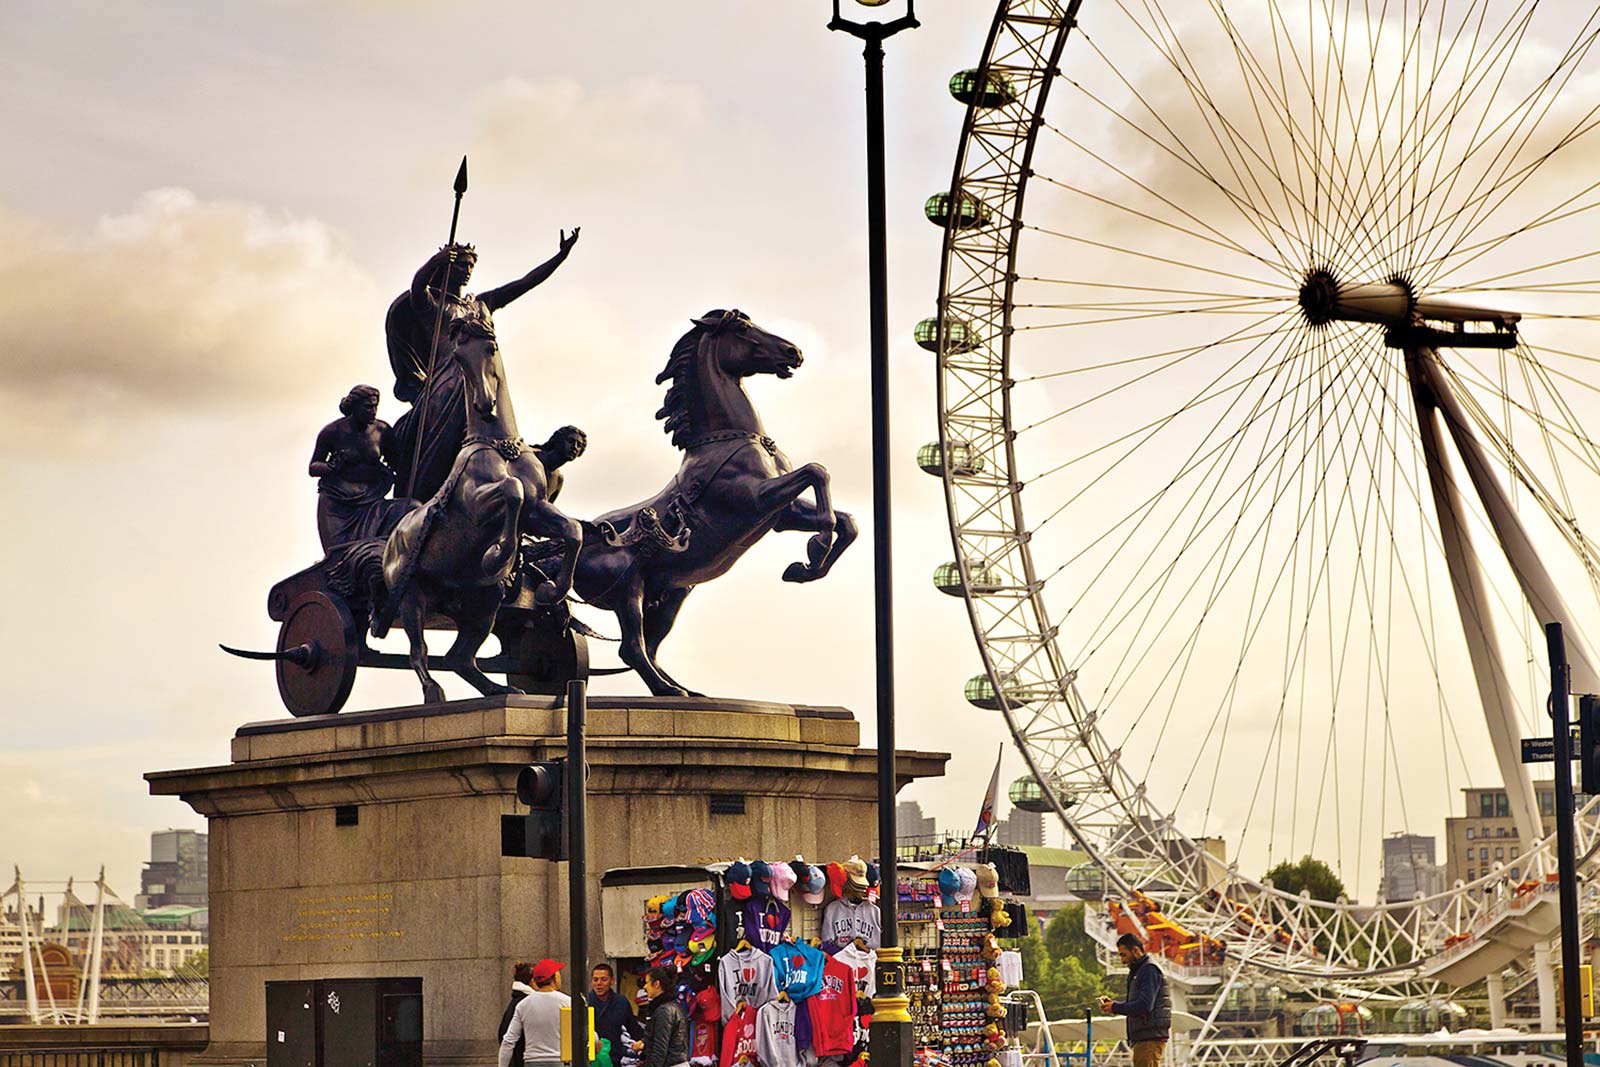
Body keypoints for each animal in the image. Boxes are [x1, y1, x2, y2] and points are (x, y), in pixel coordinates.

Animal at [544, 307, 857, 700]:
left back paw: (685, 691)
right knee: (631, 648)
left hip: (671, 595)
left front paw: (804, 568)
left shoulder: (780, 515)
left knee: (650, 648)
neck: (728, 439)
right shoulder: (757, 499)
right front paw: (816, 549)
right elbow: (818, 472)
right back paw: (669, 691)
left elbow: (847, 520)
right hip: (628, 591)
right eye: (742, 329)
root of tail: (570, 548)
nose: (794, 352)